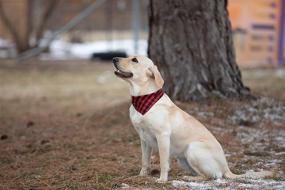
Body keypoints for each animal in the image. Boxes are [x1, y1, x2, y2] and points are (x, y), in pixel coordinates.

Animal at [112, 55, 270, 183]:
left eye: (134, 60)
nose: (114, 59)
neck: (142, 99)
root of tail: (227, 168)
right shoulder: (144, 139)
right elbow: (145, 161)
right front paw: (141, 176)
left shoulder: (162, 136)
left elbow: (163, 162)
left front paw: (162, 179)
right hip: (183, 159)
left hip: (193, 148)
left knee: (213, 176)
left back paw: (190, 178)